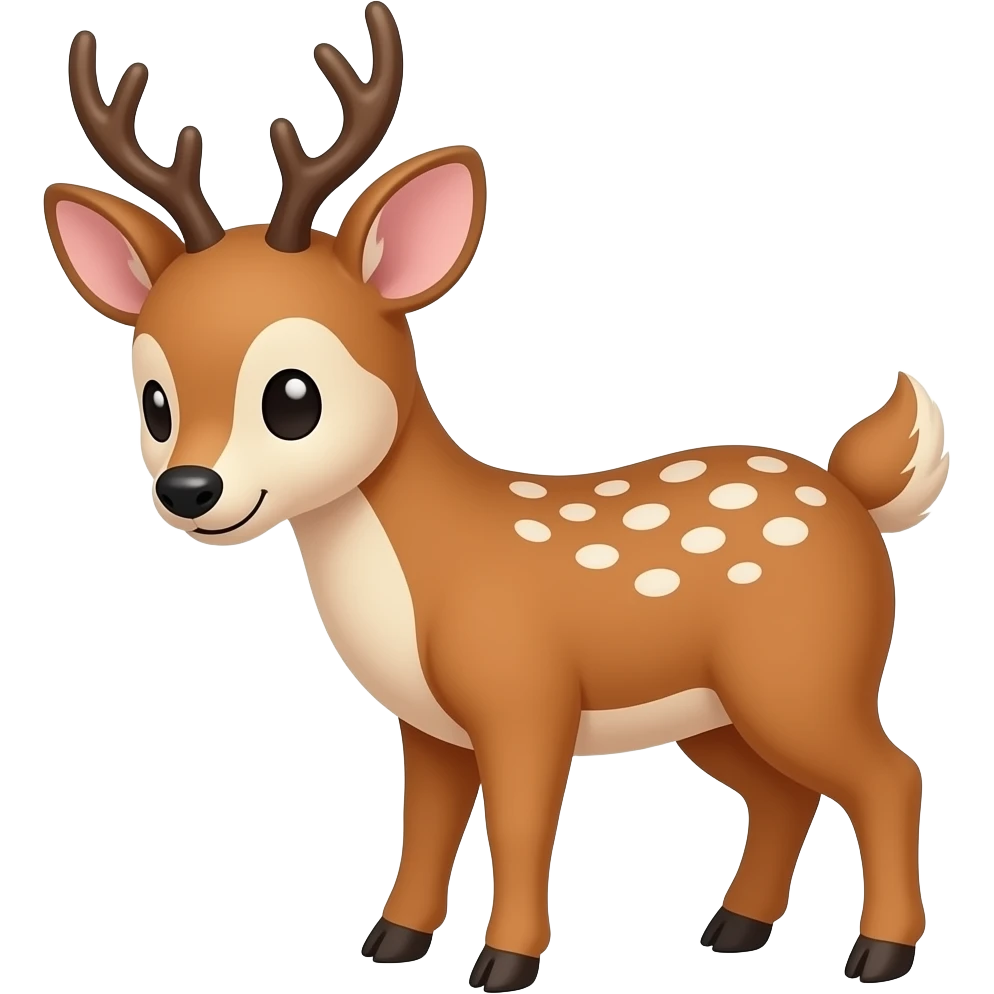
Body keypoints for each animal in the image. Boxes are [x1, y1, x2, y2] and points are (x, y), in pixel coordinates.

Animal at [43, 5, 946, 990]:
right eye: (153, 402)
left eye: (293, 395)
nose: (188, 489)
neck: (431, 567)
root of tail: (853, 494)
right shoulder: (428, 725)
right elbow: (427, 829)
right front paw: (394, 943)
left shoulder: (525, 694)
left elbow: (517, 828)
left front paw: (505, 964)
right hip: (716, 705)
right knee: (786, 792)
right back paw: (735, 927)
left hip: (803, 670)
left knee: (891, 775)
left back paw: (880, 952)